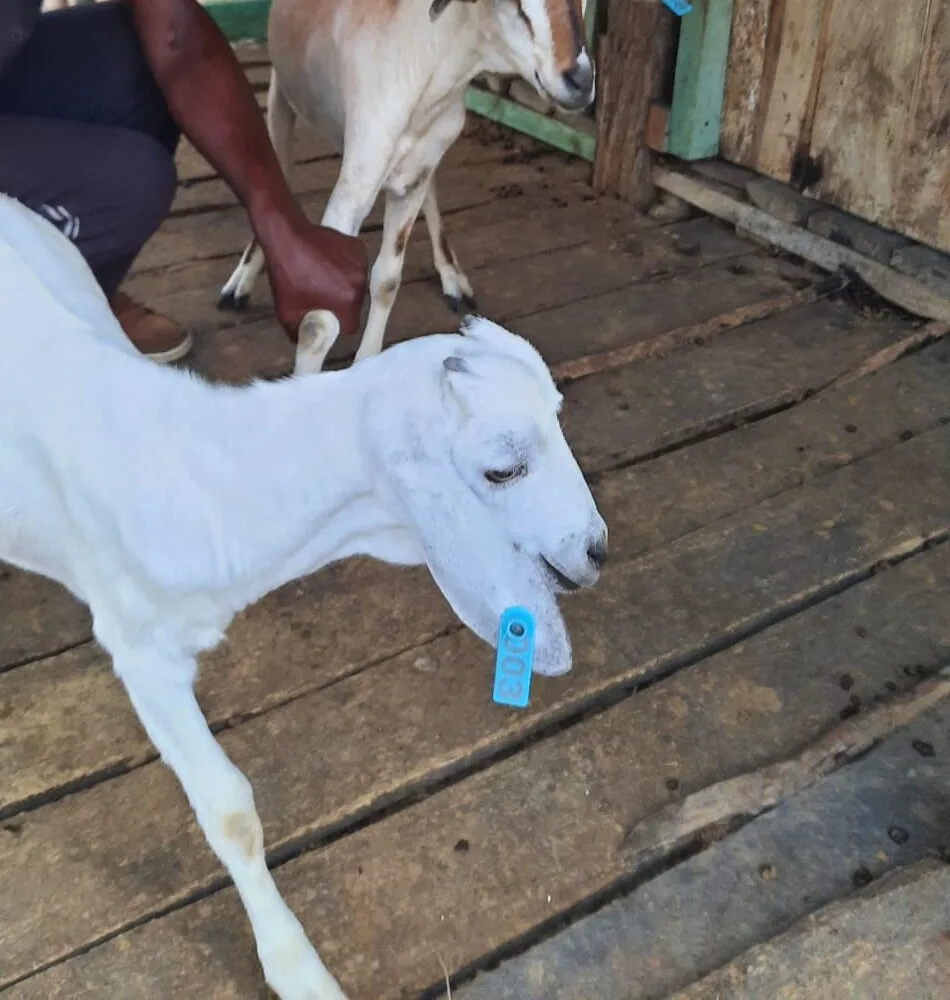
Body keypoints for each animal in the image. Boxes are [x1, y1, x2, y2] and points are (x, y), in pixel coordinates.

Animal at [0, 193, 607, 1000]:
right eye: (502, 470)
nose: (597, 550)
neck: (214, 475)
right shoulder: (140, 649)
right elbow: (230, 810)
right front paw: (298, 970)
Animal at [218, 0, 595, 375]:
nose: (580, 80)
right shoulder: (354, 186)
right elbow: (319, 322)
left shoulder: (416, 173)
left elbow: (387, 279)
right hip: (282, 92)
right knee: (277, 165)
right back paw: (240, 283)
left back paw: (452, 276)